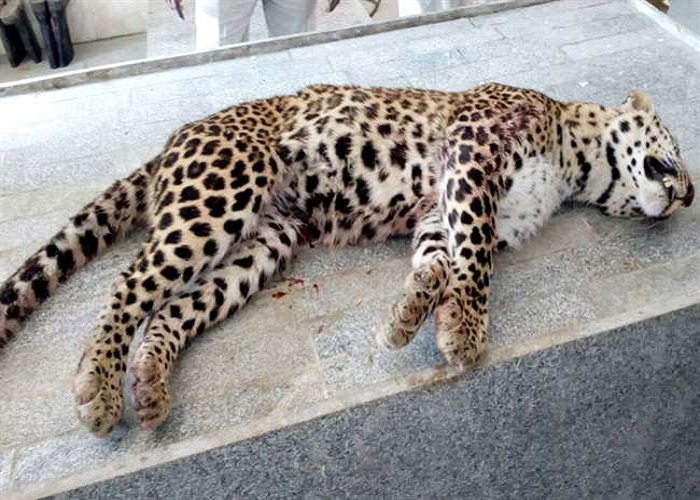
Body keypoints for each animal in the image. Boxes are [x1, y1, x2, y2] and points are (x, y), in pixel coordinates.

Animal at [0, 82, 693, 437]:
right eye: (680, 153)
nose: (688, 197)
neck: (573, 162)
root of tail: (174, 139)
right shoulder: (473, 151)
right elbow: (475, 260)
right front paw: (465, 330)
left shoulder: (442, 208)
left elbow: (444, 258)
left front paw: (411, 310)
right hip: (222, 193)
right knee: (128, 285)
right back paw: (99, 384)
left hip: (265, 243)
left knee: (170, 309)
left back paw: (147, 380)